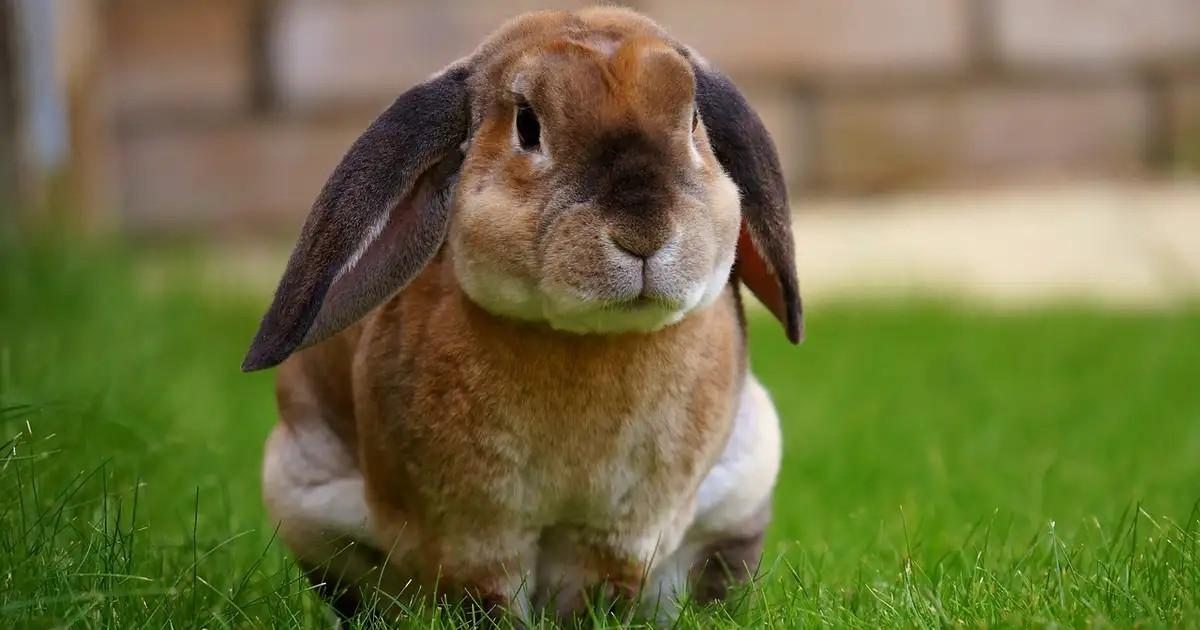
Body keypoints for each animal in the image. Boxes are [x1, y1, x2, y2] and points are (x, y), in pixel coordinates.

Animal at [243, 5, 803, 627]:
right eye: (528, 126)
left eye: (694, 122)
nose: (644, 233)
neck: (584, 339)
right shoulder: (473, 535)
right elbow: (486, 600)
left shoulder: (620, 535)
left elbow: (599, 596)